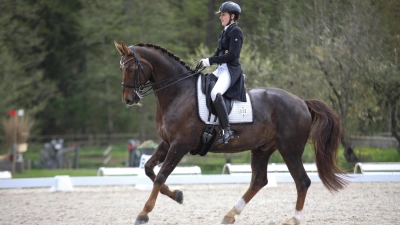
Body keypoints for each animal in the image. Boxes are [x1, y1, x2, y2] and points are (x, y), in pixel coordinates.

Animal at [114, 40, 346, 225]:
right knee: (259, 180)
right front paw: (178, 195)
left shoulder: (180, 144)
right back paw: (230, 214)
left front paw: (143, 213)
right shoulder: (167, 142)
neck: (178, 92)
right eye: (121, 68)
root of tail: (302, 102)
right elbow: (149, 170)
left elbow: (161, 175)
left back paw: (293, 219)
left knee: (302, 181)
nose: (128, 100)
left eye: (131, 67)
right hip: (262, 149)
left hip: (290, 149)